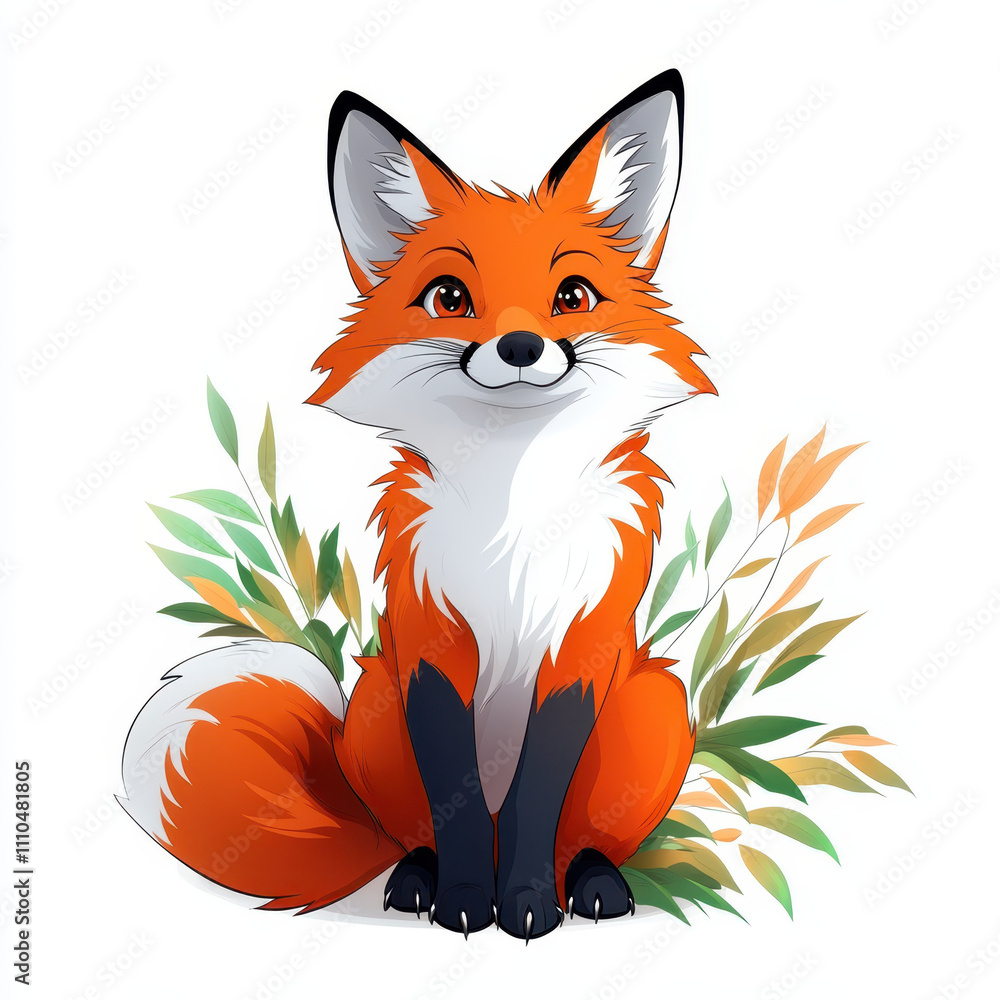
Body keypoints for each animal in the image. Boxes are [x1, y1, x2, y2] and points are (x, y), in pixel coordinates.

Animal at [120, 68, 715, 941]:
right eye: (450, 297)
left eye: (572, 295)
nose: (520, 347)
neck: (512, 512)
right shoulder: (432, 649)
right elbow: (455, 800)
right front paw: (467, 900)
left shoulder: (579, 649)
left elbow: (540, 797)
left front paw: (528, 904)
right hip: (374, 703)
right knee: (416, 832)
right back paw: (417, 878)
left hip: (654, 703)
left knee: (578, 835)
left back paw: (592, 881)